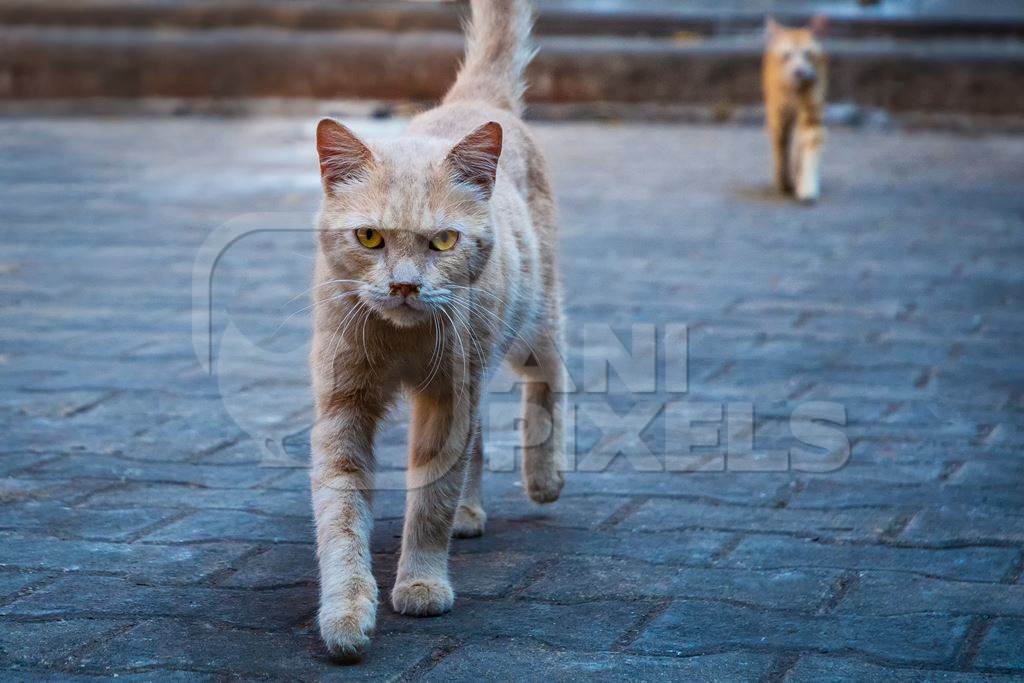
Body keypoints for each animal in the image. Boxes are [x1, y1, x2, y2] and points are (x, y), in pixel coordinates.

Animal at [765, 15, 827, 202]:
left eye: (808, 54)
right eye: (787, 56)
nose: (798, 71)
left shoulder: (812, 112)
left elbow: (809, 146)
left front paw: (807, 187)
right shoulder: (779, 116)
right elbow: (781, 148)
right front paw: (784, 181)